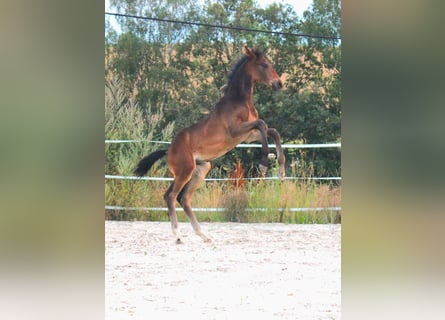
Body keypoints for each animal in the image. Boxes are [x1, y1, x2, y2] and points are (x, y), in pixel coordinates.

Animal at [134, 46, 284, 244]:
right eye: (264, 64)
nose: (279, 83)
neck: (239, 101)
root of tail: (169, 151)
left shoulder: (247, 136)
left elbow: (272, 131)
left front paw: (281, 169)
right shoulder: (235, 131)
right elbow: (263, 124)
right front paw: (264, 164)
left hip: (201, 168)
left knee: (184, 198)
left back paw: (204, 235)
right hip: (185, 170)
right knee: (171, 196)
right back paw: (178, 236)